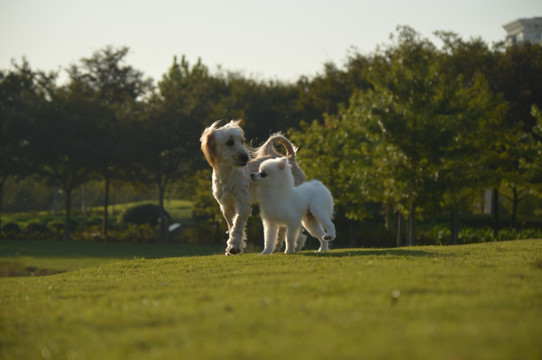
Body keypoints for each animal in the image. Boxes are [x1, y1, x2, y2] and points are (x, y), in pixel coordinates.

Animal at [202, 119, 308, 255]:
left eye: (242, 141)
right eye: (229, 142)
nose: (245, 157)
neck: (228, 175)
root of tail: (290, 158)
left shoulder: (242, 204)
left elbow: (237, 225)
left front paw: (234, 247)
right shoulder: (226, 206)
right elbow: (231, 225)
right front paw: (232, 246)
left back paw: (296, 245)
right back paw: (277, 246)